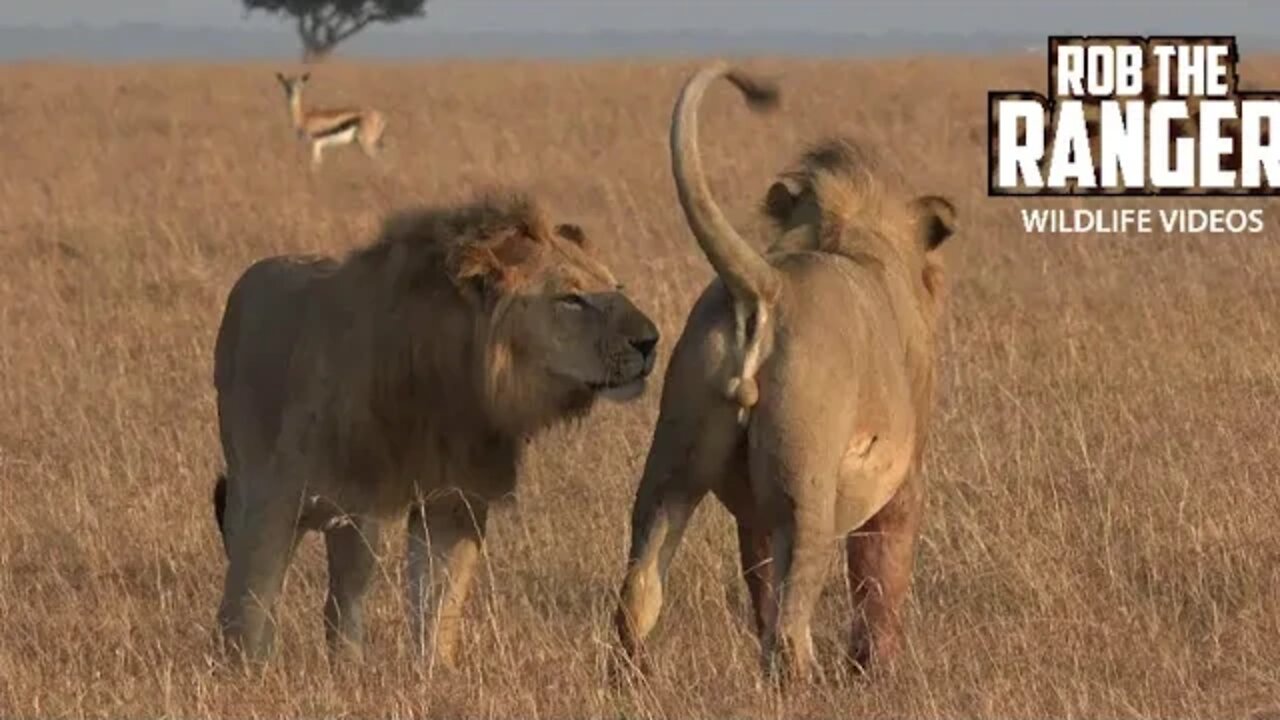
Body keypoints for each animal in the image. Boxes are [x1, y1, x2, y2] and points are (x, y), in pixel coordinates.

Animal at [211, 189, 660, 661]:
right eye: (572, 300)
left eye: (616, 288)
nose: (651, 341)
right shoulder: (275, 500)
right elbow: (250, 611)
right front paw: (245, 672)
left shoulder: (453, 500)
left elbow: (437, 606)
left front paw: (434, 672)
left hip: (358, 522)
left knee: (344, 598)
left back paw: (349, 662)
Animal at [611, 61, 962, 676]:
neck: (850, 237)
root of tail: (767, 284)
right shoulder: (906, 477)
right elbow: (880, 576)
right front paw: (876, 671)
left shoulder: (751, 507)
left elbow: (761, 587)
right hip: (806, 487)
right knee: (791, 623)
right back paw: (803, 681)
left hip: (673, 463)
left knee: (639, 592)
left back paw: (630, 681)